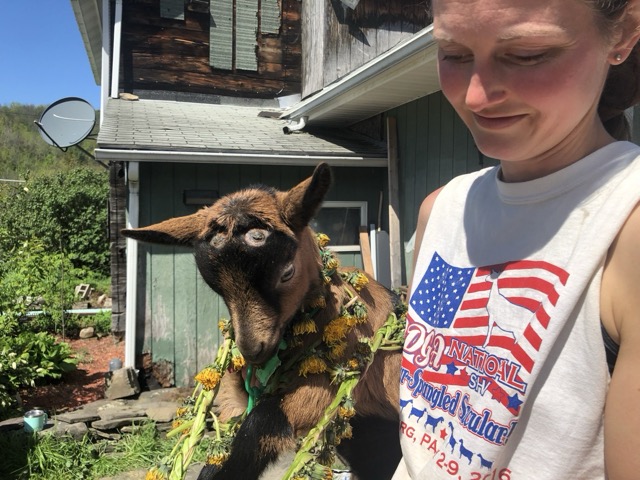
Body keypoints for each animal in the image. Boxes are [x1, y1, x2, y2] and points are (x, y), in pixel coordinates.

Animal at [123, 163, 403, 480]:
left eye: (287, 272)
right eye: (216, 286)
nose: (252, 349)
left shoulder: (332, 383)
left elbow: (261, 423)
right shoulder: (239, 395)